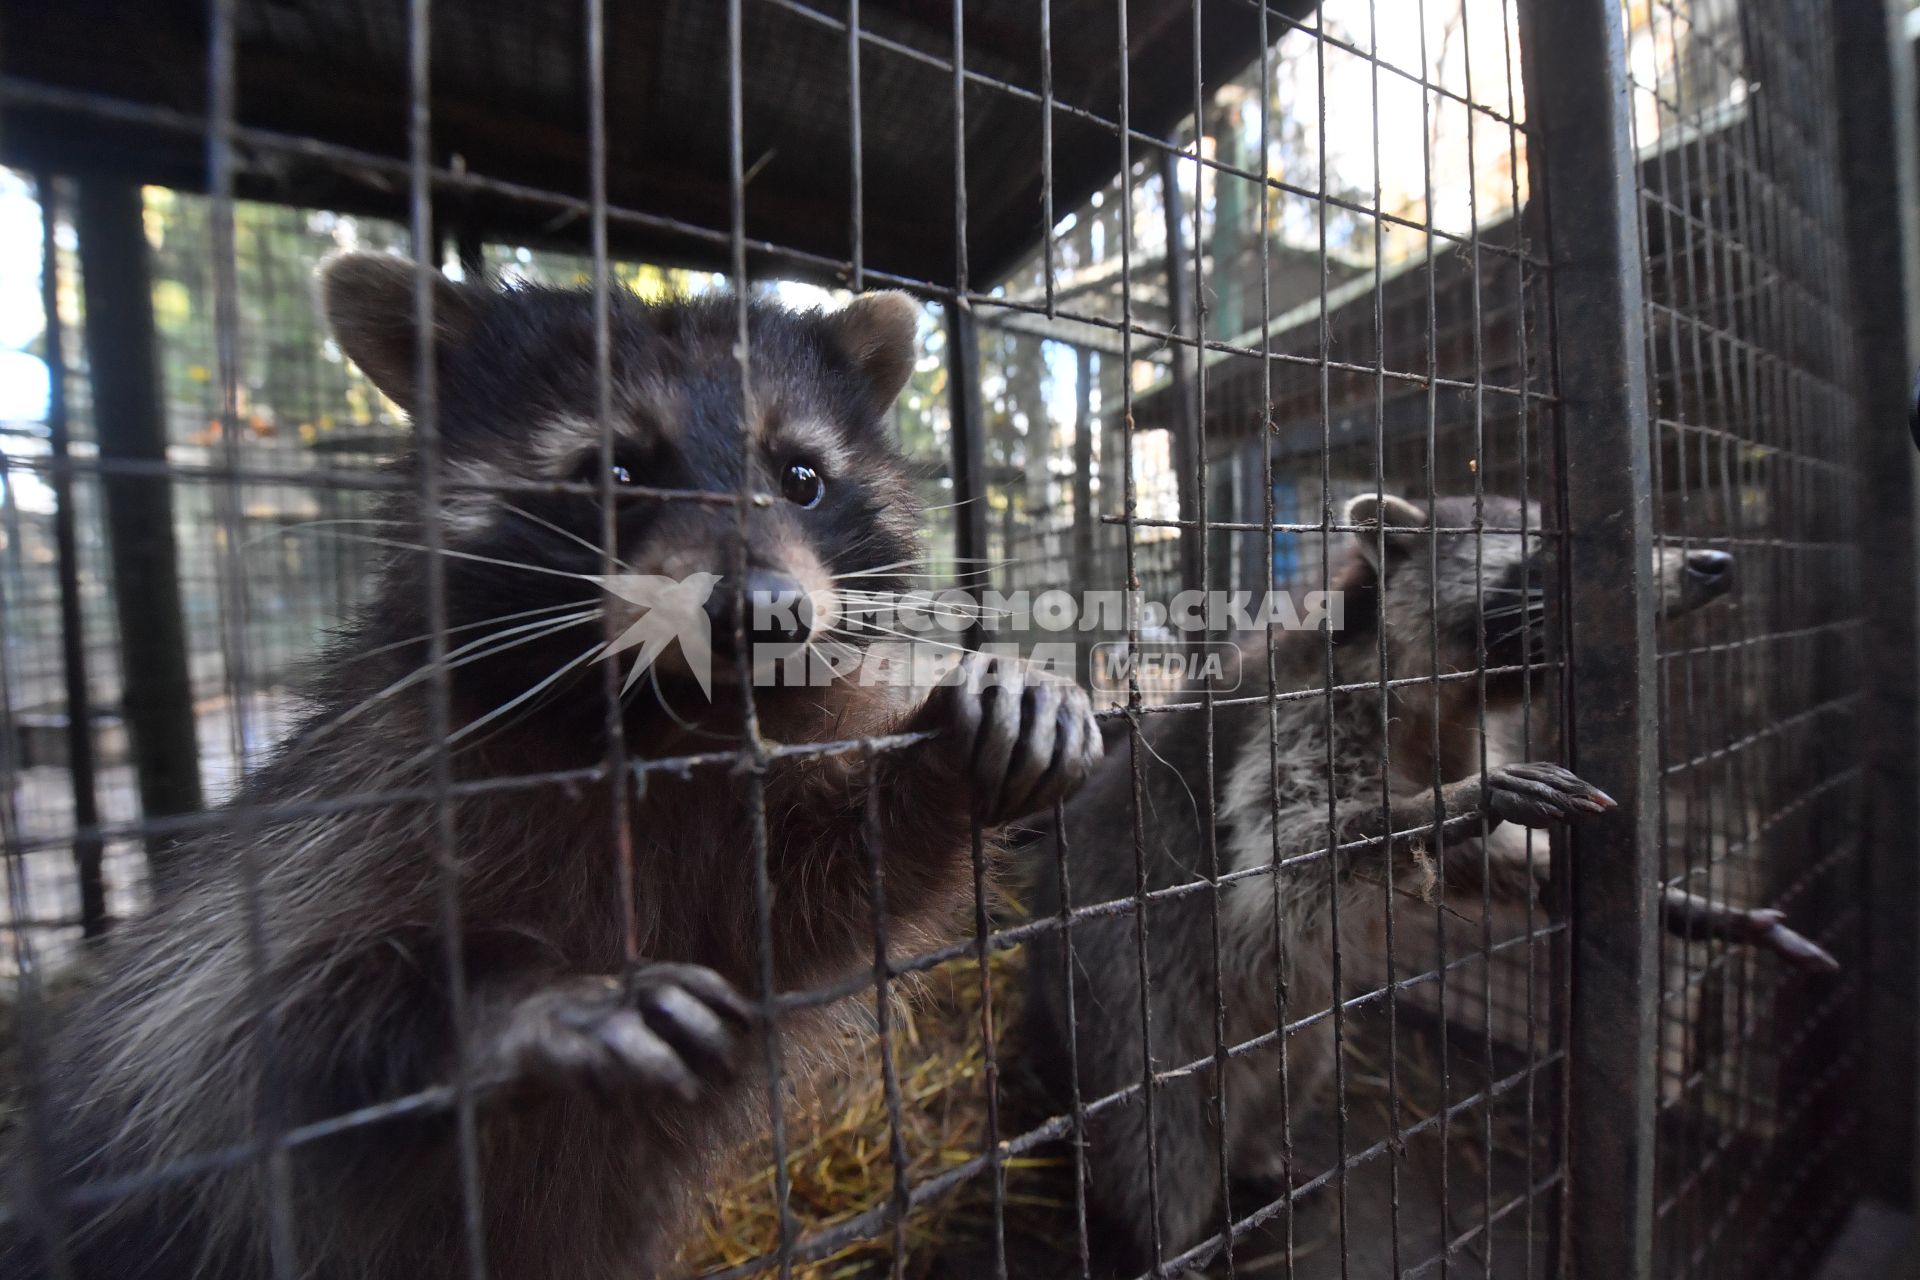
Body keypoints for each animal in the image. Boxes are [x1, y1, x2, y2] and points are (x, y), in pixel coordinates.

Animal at [7, 257, 1098, 1280]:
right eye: (615, 470)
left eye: (800, 478)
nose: (763, 611)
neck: (669, 713)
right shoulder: (347, 820)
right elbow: (258, 1027)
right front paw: (509, 1008)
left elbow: (822, 894)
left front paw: (955, 745)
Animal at [1013, 495, 1820, 1280]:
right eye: (1547, 546)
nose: (1713, 564)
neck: (1428, 690)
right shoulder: (1302, 712)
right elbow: (1288, 850)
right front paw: (1449, 802)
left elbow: (1480, 862)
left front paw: (1677, 903)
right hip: (1128, 1013)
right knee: (1159, 1148)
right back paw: (1167, 1247)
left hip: (1291, 1037)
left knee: (1293, 1074)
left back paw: (1255, 1155)